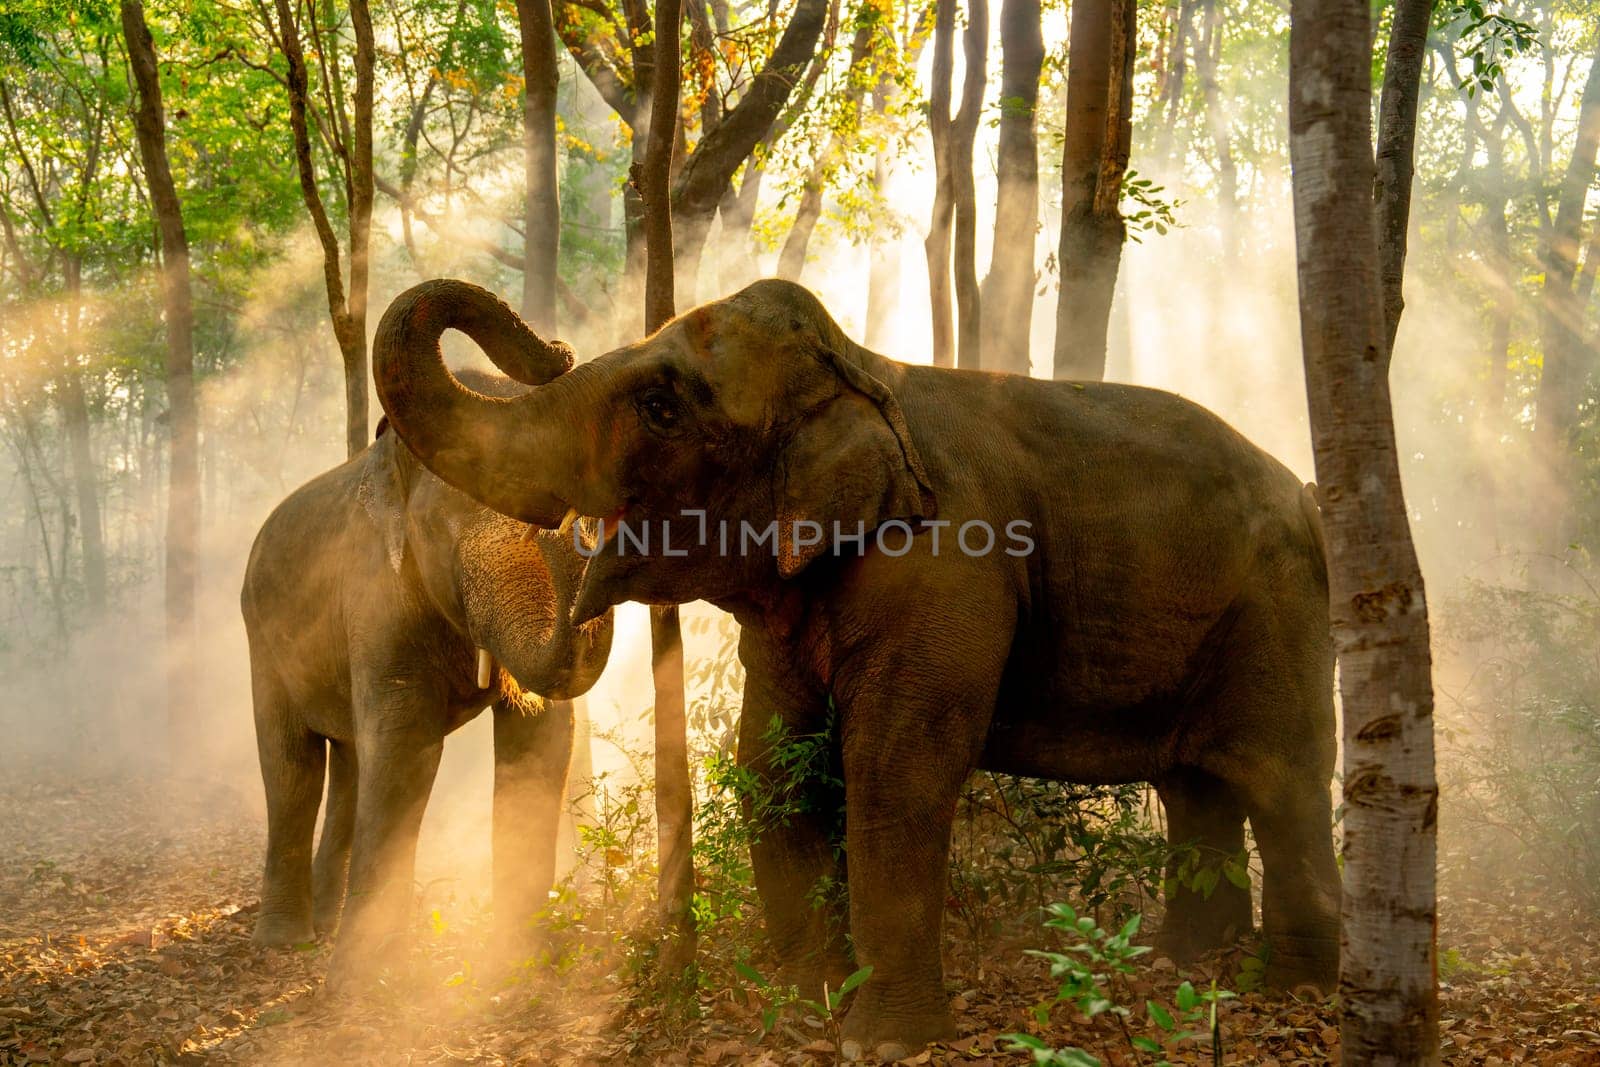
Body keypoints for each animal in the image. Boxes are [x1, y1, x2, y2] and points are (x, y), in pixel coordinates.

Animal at [236, 361, 611, 979]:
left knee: (349, 763)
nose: (565, 524)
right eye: (443, 526)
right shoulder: (374, 592)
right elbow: (406, 743)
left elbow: (543, 736)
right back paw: (287, 941)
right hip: (262, 640)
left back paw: (324, 921)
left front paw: (521, 961)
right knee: (292, 766)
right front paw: (364, 979)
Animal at [366, 278, 1337, 1062]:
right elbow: (772, 763)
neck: (866, 375)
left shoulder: (947, 567)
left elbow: (893, 767)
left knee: (1282, 776)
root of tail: (1306, 493)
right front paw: (808, 1003)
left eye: (661, 407)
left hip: (1280, 610)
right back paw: (1188, 961)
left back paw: (1286, 986)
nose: (550, 347)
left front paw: (883, 1041)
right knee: (1196, 783)